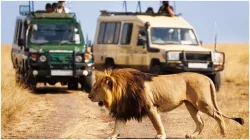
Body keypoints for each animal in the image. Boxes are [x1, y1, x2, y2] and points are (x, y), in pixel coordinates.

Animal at [88, 68, 244, 138]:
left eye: (96, 88)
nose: (89, 96)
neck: (121, 91)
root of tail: (207, 77)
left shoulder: (150, 107)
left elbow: (157, 123)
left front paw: (161, 135)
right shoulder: (124, 110)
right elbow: (117, 125)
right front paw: (112, 136)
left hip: (202, 103)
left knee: (218, 115)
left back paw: (223, 134)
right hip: (190, 105)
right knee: (201, 122)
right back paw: (192, 136)